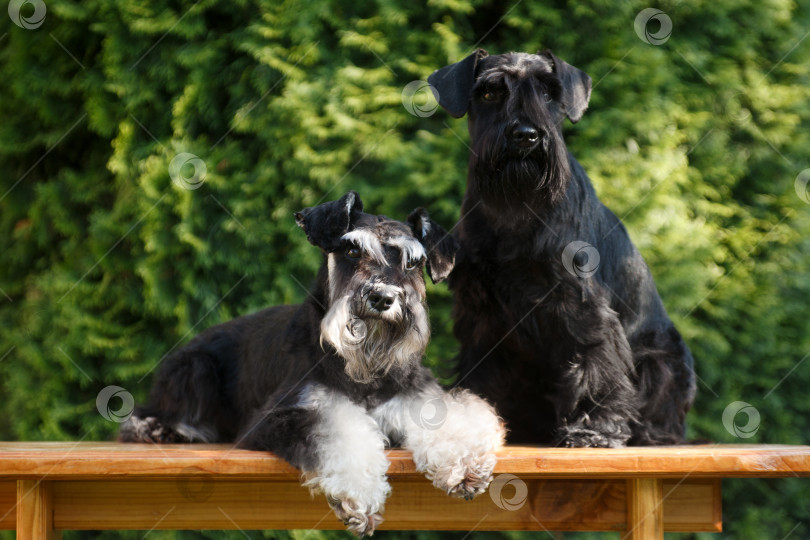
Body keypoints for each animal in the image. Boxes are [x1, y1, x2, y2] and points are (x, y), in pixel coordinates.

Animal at [117, 193, 502, 536]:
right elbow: (337, 430)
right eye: (352, 250)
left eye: (413, 262)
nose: (382, 298)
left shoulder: (418, 396)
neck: (364, 370)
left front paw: (465, 465)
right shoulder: (283, 415)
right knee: (143, 417)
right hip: (196, 369)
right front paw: (360, 497)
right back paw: (162, 430)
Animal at [430, 49, 696, 448]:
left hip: (663, 362)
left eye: (549, 92)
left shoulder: (580, 302)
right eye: (490, 92)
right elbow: (480, 364)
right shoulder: (480, 310)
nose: (525, 136)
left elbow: (595, 361)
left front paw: (593, 429)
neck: (516, 207)